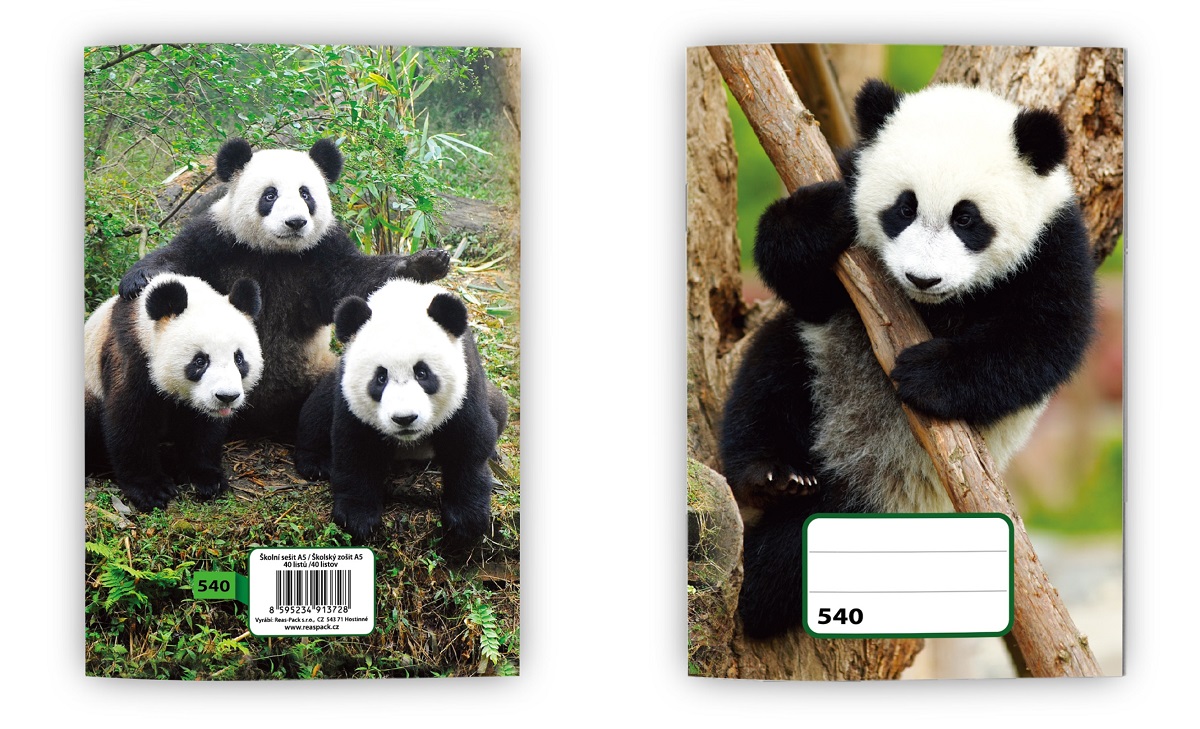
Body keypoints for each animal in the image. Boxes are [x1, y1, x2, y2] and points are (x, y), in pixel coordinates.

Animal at [85, 273, 265, 511]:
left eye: (239, 358)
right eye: (200, 361)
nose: (227, 397)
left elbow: (203, 428)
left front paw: (206, 478)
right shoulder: (129, 354)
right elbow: (130, 420)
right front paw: (152, 489)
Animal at [117, 138, 451, 439]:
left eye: (306, 194)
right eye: (270, 195)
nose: (295, 222)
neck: (275, 252)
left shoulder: (323, 253)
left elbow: (356, 280)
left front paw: (425, 264)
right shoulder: (218, 240)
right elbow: (178, 257)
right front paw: (138, 280)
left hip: (316, 370)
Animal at [294, 279, 508, 548]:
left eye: (422, 373)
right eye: (380, 377)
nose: (404, 419)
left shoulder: (466, 382)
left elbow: (469, 442)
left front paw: (466, 520)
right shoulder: (350, 396)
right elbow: (355, 447)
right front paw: (357, 517)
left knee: (499, 409)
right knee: (318, 411)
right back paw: (315, 463)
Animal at [719, 80, 1097, 639]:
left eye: (967, 218)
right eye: (903, 208)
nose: (923, 278)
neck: (936, 308)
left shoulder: (1054, 244)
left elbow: (1044, 339)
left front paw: (927, 374)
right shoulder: (843, 201)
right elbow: (802, 279)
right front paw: (817, 219)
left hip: (902, 498)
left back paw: (760, 589)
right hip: (816, 358)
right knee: (767, 382)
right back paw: (771, 476)